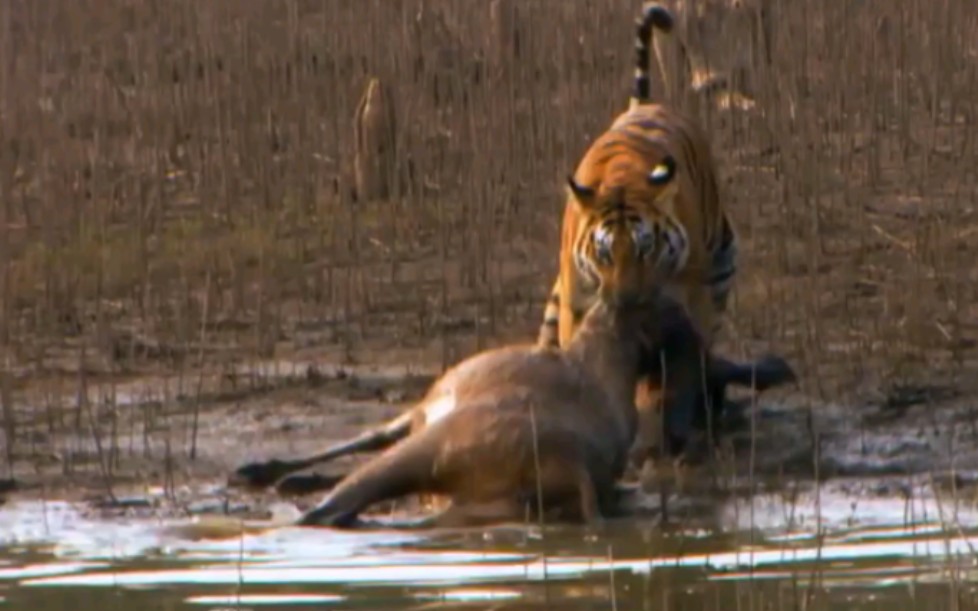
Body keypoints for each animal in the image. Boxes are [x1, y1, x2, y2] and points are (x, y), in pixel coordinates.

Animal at [528, 1, 788, 464]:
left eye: (645, 250)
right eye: (604, 254)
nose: (627, 301)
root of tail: (644, 105)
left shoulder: (686, 305)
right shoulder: (579, 303)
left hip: (719, 265)